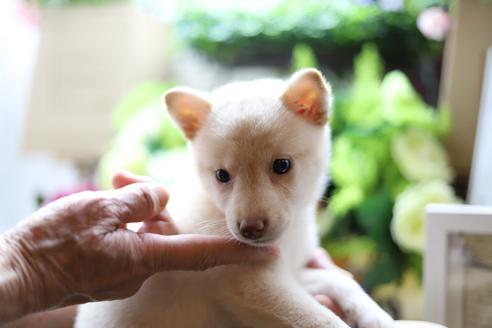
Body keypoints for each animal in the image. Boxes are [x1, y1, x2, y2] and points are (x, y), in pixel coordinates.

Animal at [75, 69, 394, 328]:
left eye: (282, 165)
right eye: (222, 175)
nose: (250, 229)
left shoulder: (288, 273)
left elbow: (339, 280)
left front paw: (376, 315)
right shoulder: (252, 285)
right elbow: (322, 320)